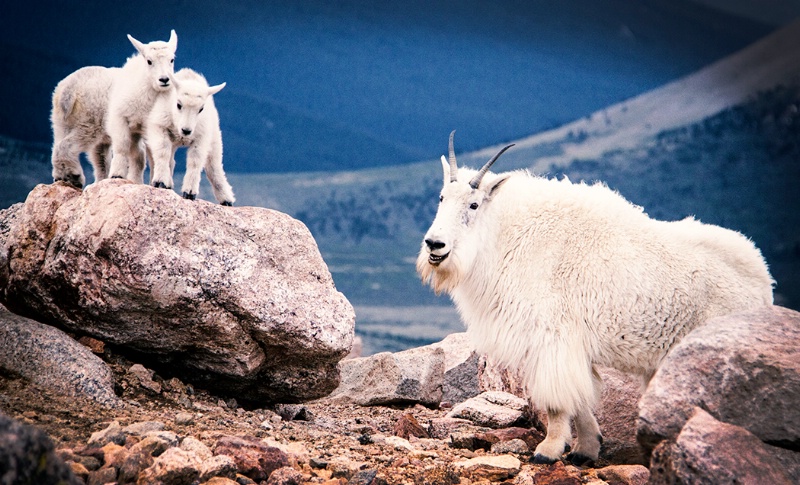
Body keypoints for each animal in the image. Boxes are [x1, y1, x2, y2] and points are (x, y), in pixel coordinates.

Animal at [106, 29, 178, 183]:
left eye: (172, 60)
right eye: (149, 61)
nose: (164, 79)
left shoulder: (155, 126)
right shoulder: (120, 118)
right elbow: (121, 146)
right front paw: (116, 174)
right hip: (135, 131)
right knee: (137, 155)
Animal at [145, 67, 234, 204]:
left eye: (201, 109)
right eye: (178, 104)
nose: (186, 130)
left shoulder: (201, 138)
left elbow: (195, 161)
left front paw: (189, 192)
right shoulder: (159, 126)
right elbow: (163, 153)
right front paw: (160, 181)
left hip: (214, 136)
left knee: (214, 167)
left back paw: (226, 199)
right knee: (169, 159)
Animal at [418, 130, 776, 464]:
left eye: (473, 204)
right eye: (441, 197)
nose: (435, 245)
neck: (509, 237)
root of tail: (764, 282)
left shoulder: (553, 336)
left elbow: (557, 401)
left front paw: (548, 450)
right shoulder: (572, 346)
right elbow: (582, 398)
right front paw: (586, 449)